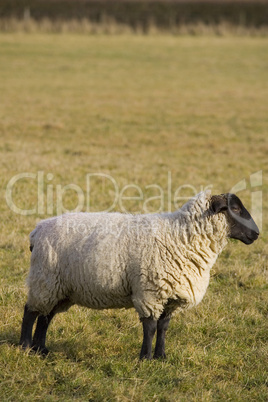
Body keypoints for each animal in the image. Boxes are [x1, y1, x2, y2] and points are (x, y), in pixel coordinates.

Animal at [19, 190, 258, 360]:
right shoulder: (150, 292)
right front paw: (145, 358)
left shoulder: (170, 296)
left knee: (46, 316)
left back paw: (41, 350)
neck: (180, 236)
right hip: (45, 278)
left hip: (59, 286)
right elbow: (150, 328)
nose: (256, 234)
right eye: (235, 208)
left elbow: (163, 328)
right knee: (31, 311)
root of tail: (37, 230)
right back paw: (25, 346)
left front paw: (161, 357)